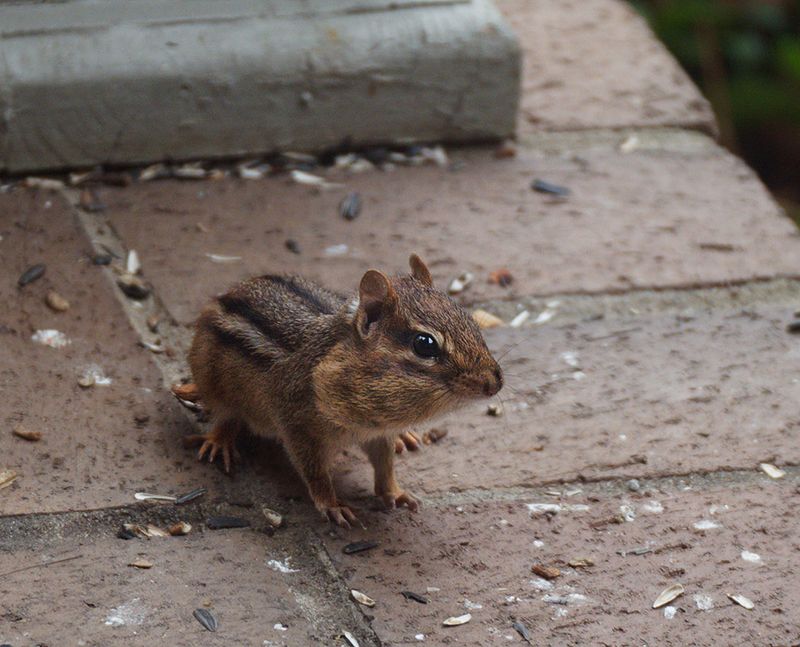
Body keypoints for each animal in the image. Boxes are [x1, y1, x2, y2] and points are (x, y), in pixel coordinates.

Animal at [175, 254, 503, 528]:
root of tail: (227, 294)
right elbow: (315, 472)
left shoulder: (378, 434)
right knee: (226, 414)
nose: (495, 382)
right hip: (213, 380)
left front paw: (395, 492)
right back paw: (219, 441)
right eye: (425, 344)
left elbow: (385, 466)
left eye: (469, 320)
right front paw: (333, 505)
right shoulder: (298, 427)